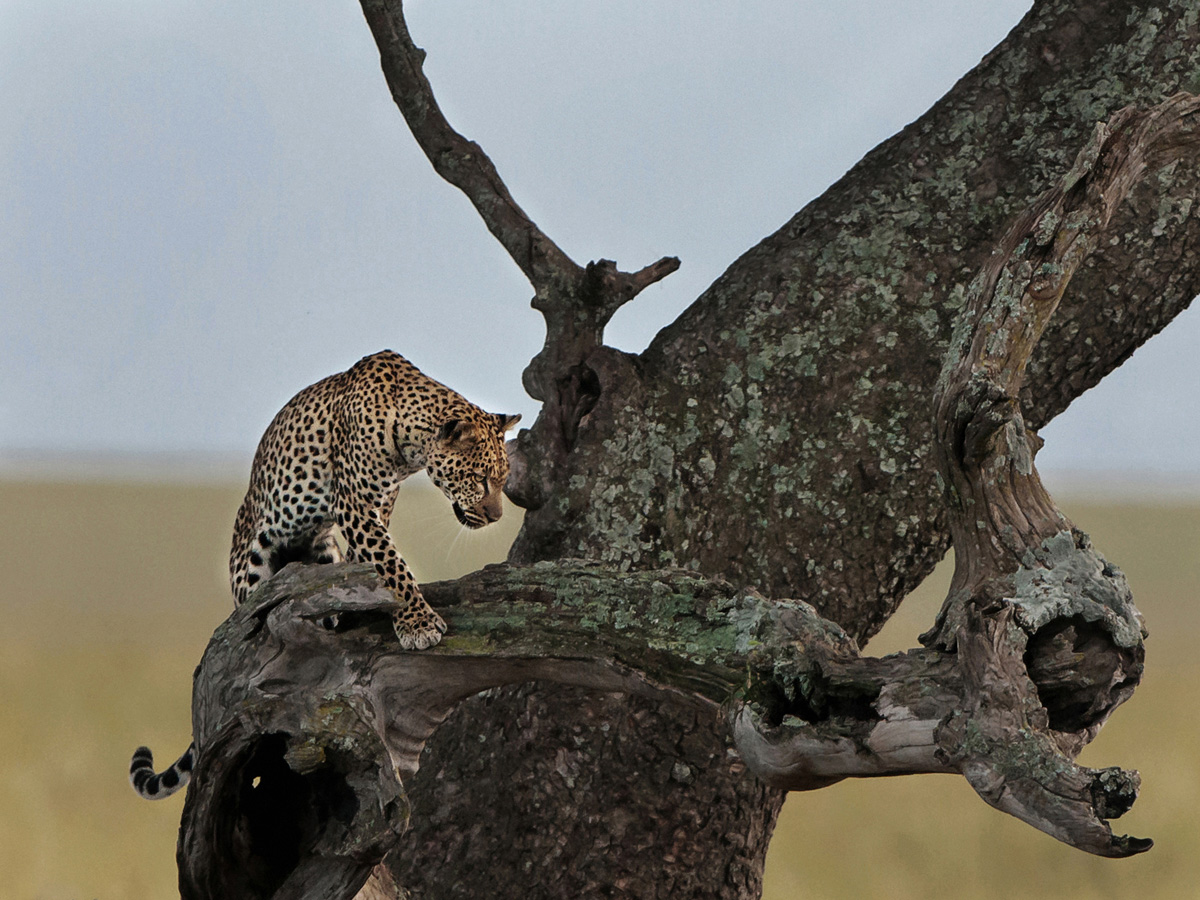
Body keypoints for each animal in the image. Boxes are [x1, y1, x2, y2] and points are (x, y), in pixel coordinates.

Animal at [129, 349, 520, 799]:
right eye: (480, 479)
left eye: (503, 481)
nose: (495, 516)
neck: (410, 444)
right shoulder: (355, 504)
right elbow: (391, 562)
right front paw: (418, 623)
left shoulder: (378, 506)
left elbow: (372, 561)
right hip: (252, 563)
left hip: (322, 551)